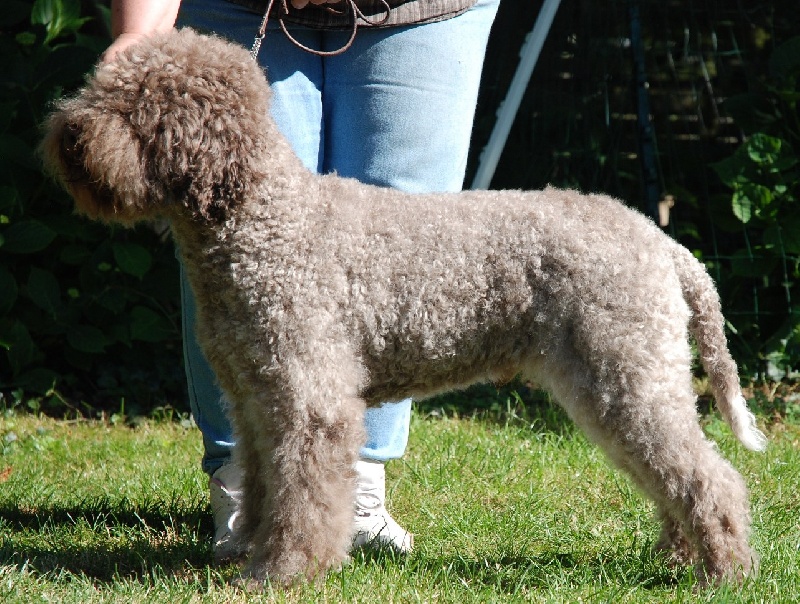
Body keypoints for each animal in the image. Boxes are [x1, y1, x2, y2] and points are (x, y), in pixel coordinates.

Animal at [40, 27, 764, 584]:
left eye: (139, 103)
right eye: (101, 86)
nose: (68, 135)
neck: (264, 219)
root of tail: (662, 241)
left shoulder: (310, 398)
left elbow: (304, 495)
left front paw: (285, 572)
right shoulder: (255, 396)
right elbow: (268, 483)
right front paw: (249, 551)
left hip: (625, 372)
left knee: (709, 476)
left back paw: (724, 571)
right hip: (624, 377)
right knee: (672, 474)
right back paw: (679, 558)